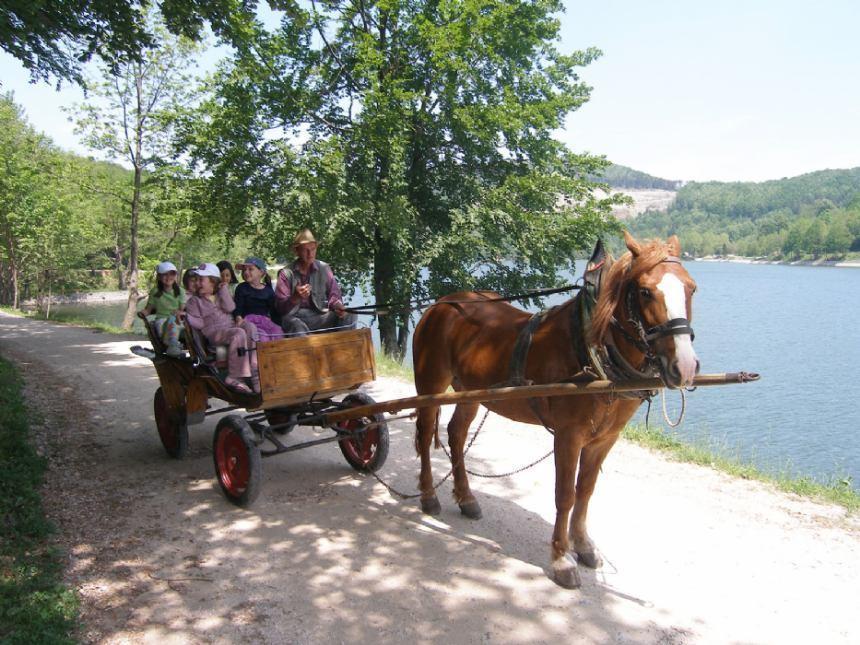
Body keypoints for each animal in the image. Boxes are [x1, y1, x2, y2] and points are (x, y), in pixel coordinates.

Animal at [410, 231, 700, 588]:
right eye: (645, 291)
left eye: (691, 288)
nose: (684, 366)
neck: (594, 352)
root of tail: (440, 305)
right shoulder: (568, 436)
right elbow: (565, 494)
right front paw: (562, 558)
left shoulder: (604, 440)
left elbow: (585, 491)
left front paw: (584, 545)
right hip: (430, 386)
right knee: (426, 436)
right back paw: (428, 496)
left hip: (470, 392)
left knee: (456, 434)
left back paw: (466, 499)